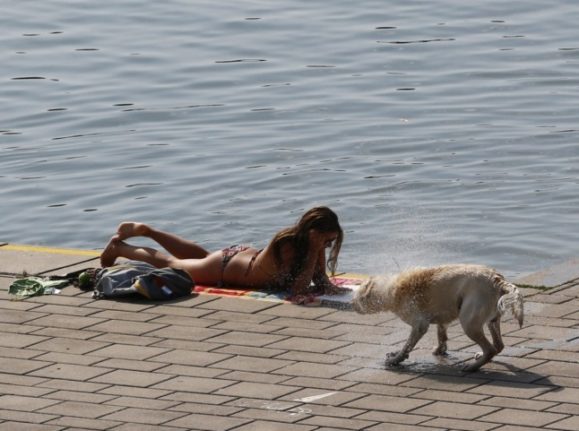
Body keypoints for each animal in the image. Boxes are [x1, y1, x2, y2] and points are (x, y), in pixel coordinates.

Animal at [354, 264, 524, 372]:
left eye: (359, 296)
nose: (352, 305)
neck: (391, 289)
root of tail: (497, 280)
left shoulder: (419, 325)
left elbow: (407, 345)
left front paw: (395, 359)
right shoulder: (442, 321)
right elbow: (441, 335)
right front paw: (439, 350)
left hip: (469, 323)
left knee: (490, 349)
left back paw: (471, 367)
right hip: (491, 321)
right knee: (498, 345)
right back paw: (479, 357)